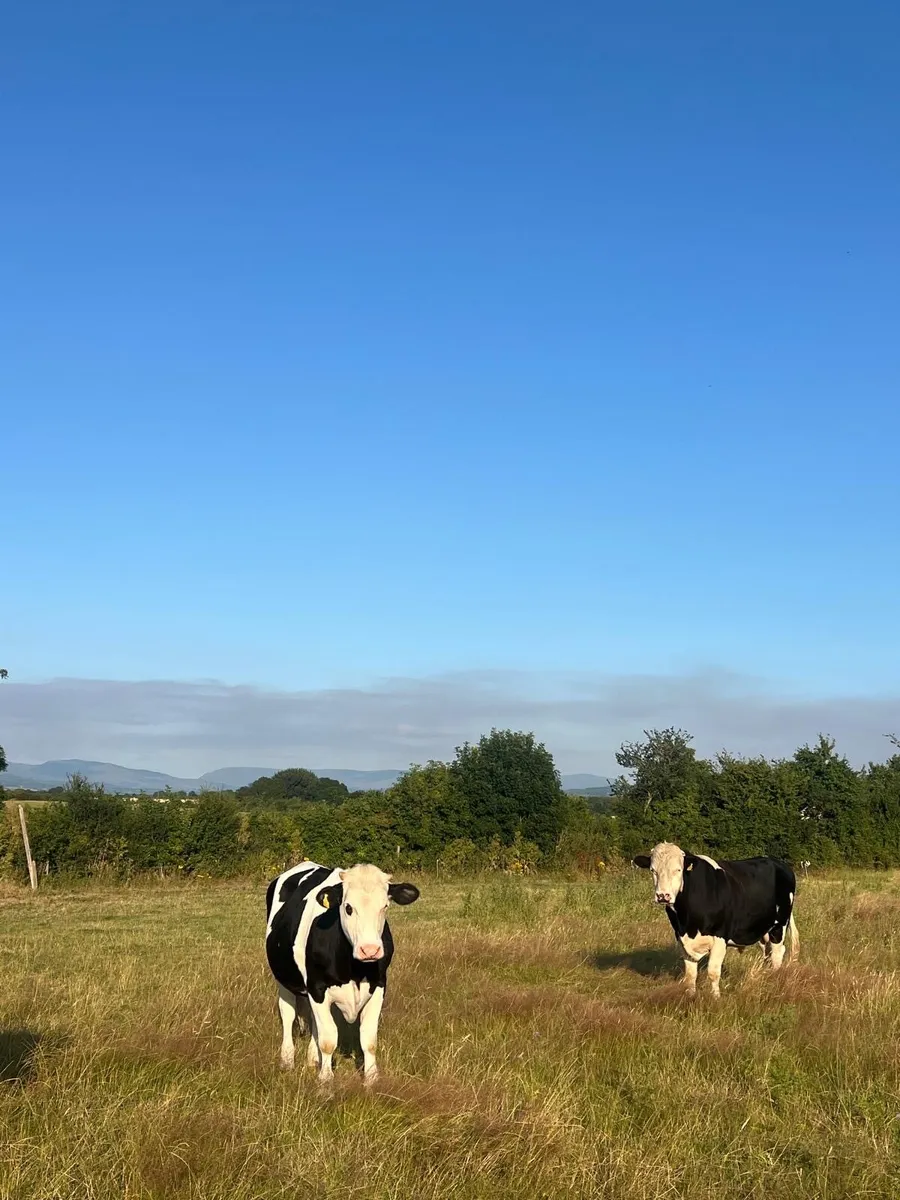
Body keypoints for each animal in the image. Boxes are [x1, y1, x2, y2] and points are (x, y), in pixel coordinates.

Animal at [265, 860, 420, 1083]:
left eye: (385, 906)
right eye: (348, 907)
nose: (370, 950)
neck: (355, 970)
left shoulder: (380, 985)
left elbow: (369, 1039)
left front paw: (371, 1079)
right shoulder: (317, 987)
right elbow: (328, 1039)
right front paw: (325, 1080)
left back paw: (312, 1059)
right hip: (283, 977)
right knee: (288, 1014)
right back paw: (287, 1060)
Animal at [632, 842, 798, 998]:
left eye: (678, 870)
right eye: (653, 870)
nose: (663, 896)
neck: (689, 923)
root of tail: (778, 862)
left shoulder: (720, 937)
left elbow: (713, 971)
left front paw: (715, 998)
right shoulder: (681, 938)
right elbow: (690, 974)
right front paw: (691, 996)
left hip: (779, 925)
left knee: (777, 953)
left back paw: (774, 978)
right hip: (762, 928)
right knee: (767, 952)